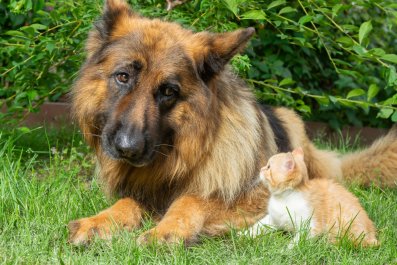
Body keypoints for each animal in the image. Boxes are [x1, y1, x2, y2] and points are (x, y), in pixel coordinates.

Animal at [244, 147, 378, 246]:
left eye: (268, 167)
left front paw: (286, 250)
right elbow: (257, 227)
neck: (284, 198)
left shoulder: (310, 225)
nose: (261, 169)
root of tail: (372, 235)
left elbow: (297, 241)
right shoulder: (273, 219)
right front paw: (244, 235)